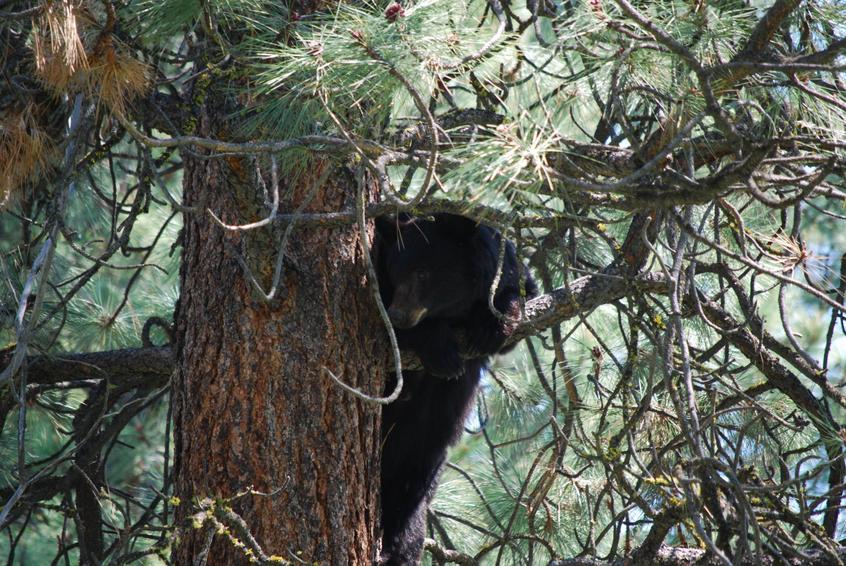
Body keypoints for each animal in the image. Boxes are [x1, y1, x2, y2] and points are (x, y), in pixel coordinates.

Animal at [376, 215, 536, 564]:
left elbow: (521, 298)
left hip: (424, 442)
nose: (397, 314)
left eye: (423, 272)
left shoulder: (504, 264)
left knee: (411, 484)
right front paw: (439, 347)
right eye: (394, 271)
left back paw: (400, 544)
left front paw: (493, 323)